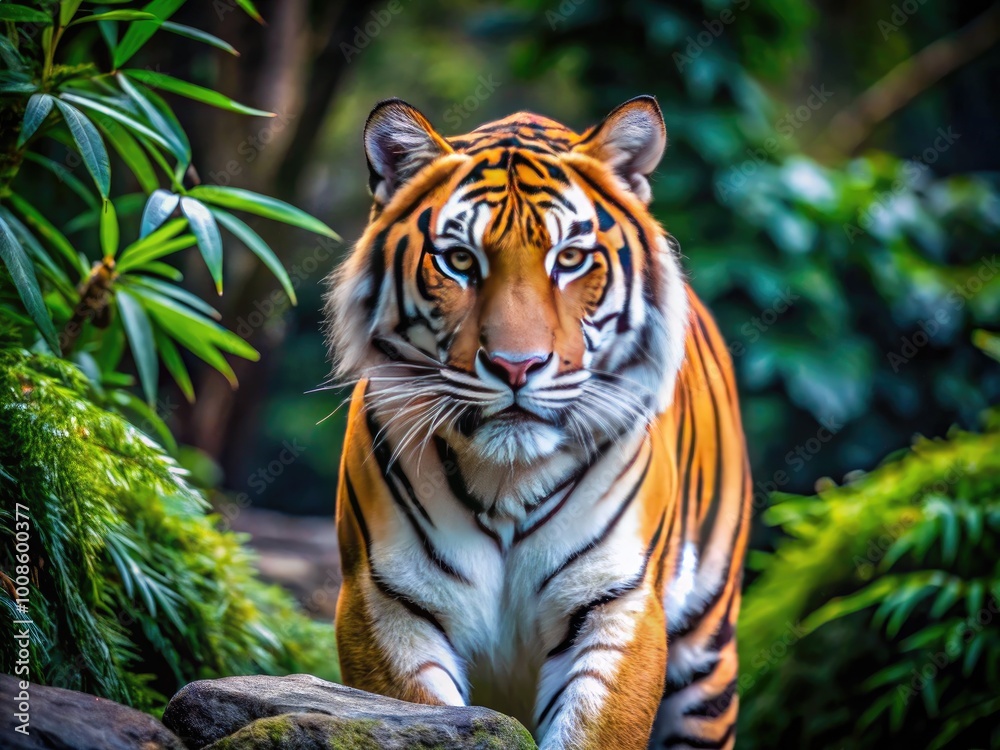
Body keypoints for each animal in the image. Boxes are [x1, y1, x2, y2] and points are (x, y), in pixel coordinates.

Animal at [324, 95, 751, 750]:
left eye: (569, 259)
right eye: (459, 260)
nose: (516, 365)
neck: (507, 481)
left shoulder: (617, 604)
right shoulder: (386, 603)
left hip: (707, 660)